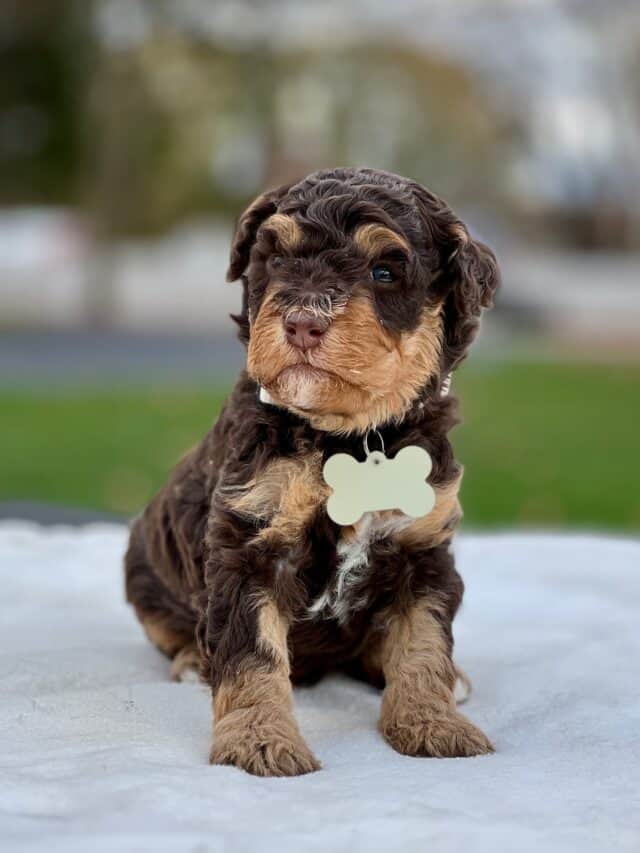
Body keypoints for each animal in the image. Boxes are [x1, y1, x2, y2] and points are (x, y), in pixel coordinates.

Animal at [122, 165, 498, 772]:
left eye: (385, 271)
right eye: (275, 260)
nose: (302, 322)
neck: (350, 437)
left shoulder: (423, 551)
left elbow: (423, 641)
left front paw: (431, 721)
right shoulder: (250, 541)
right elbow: (251, 653)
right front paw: (259, 738)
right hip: (143, 575)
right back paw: (193, 663)